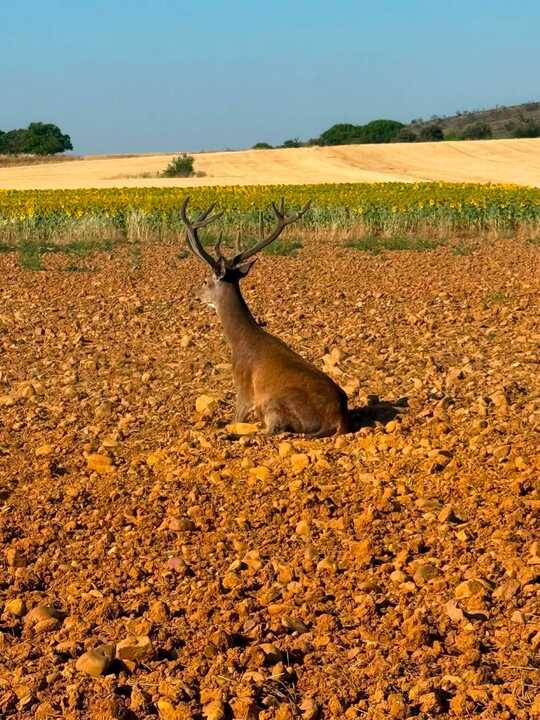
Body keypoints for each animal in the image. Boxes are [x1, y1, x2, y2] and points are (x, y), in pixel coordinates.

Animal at [181, 196, 351, 437]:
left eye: (206, 280)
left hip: (274, 404)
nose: (193, 293)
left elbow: (237, 416)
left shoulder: (243, 384)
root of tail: (337, 418)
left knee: (271, 429)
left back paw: (230, 433)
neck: (239, 341)